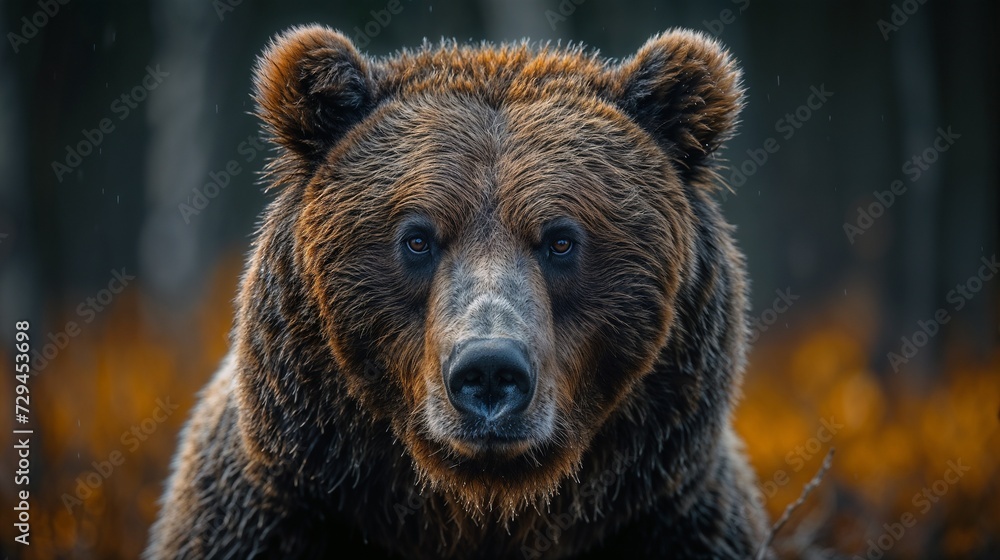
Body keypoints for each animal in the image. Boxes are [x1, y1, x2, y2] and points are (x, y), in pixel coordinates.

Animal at [146, 24, 772, 556]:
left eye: (561, 240)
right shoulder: (277, 513)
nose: (489, 370)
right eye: (417, 238)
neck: (474, 510)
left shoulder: (669, 521)